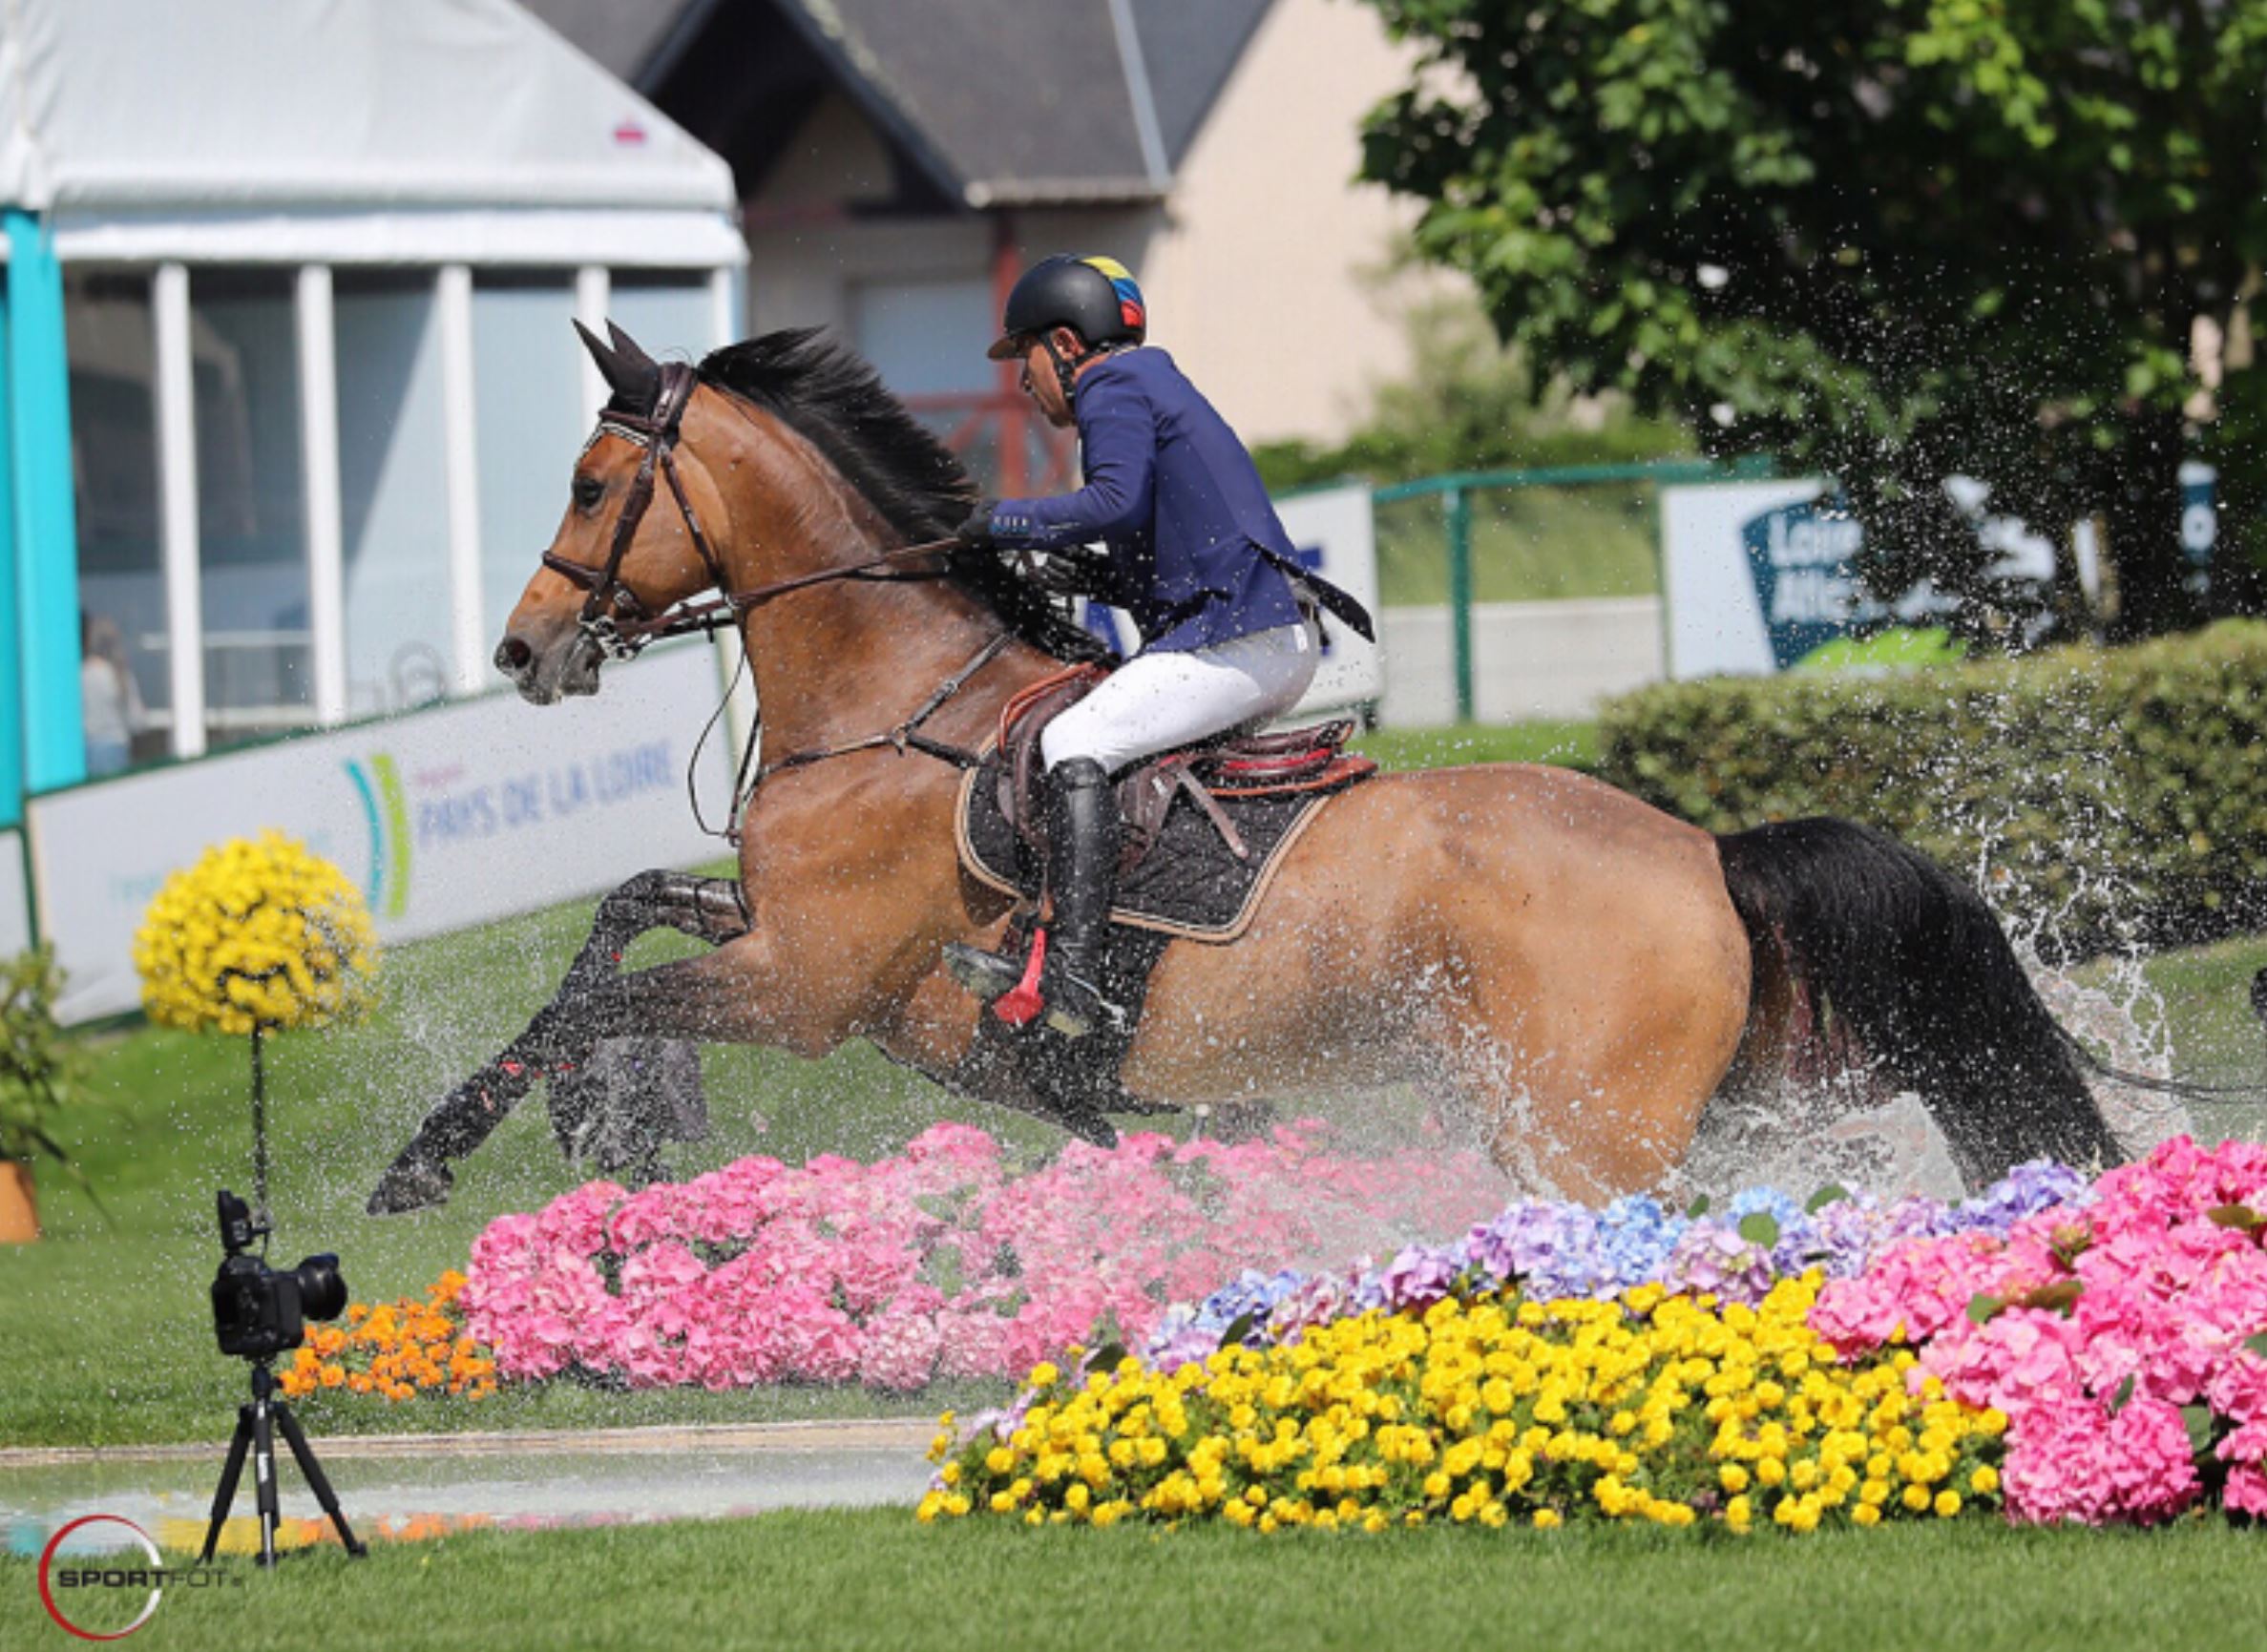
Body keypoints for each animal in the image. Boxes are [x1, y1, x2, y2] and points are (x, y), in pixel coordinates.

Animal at [363, 328, 2112, 1214]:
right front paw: (590, 1118)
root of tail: (1702, 853)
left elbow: (592, 997)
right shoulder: (773, 936)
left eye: (593, 483)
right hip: (1660, 1101)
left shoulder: (804, 984)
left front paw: (429, 1159)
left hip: (1587, 1128)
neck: (888, 699)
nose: (524, 649)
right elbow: (616, 916)